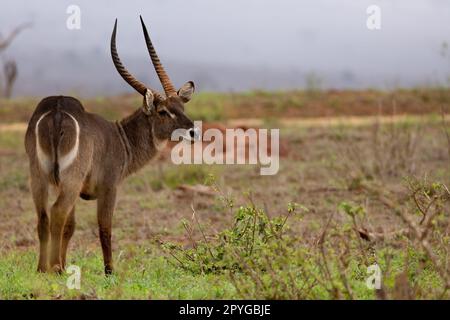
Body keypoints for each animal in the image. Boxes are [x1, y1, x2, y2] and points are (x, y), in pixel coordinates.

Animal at [24, 16, 197, 274]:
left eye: (181, 107)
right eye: (163, 111)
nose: (194, 130)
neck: (121, 137)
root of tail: (57, 110)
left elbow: (70, 227)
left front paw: (65, 265)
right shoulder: (109, 187)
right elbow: (105, 228)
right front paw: (109, 271)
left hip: (39, 176)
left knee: (44, 218)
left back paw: (43, 269)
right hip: (71, 179)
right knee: (57, 212)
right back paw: (54, 268)